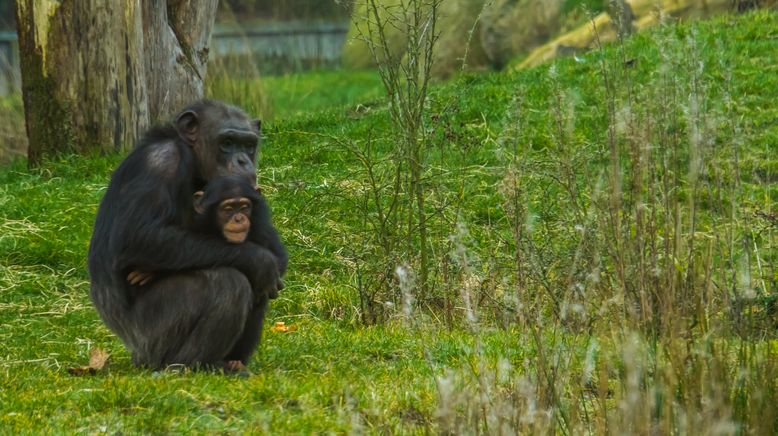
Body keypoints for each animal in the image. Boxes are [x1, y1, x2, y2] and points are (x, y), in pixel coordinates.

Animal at [87, 99, 284, 372]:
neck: (193, 160)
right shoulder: (160, 162)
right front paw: (259, 259)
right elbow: (137, 237)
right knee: (228, 282)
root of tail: (134, 352)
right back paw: (193, 365)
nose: (243, 161)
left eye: (249, 145)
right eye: (227, 142)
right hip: (152, 336)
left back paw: (233, 362)